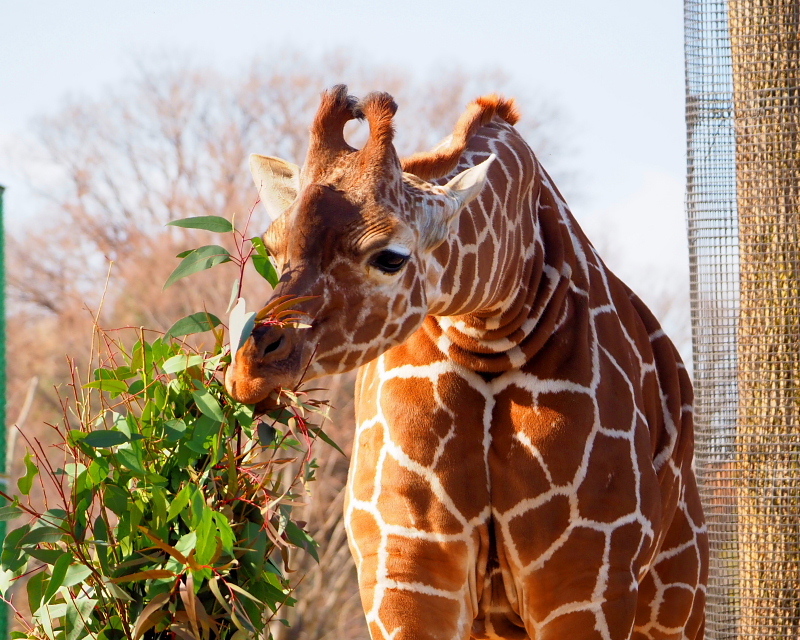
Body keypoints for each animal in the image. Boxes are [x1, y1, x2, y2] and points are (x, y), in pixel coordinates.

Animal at [223, 86, 708, 640]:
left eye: (390, 256)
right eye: (272, 245)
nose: (250, 367)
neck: (491, 330)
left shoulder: (588, 577)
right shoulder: (408, 562)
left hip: (677, 604)